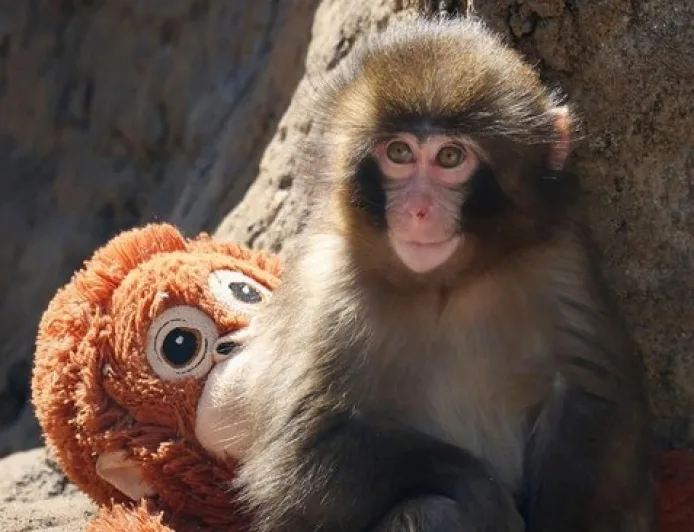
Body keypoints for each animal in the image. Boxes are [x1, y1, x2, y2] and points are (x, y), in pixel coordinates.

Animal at [196, 15, 657, 532]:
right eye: (399, 153)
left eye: (450, 158)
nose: (417, 210)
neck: (445, 284)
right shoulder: (327, 287)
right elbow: (298, 461)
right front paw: (482, 493)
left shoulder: (559, 261)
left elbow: (591, 401)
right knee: (429, 509)